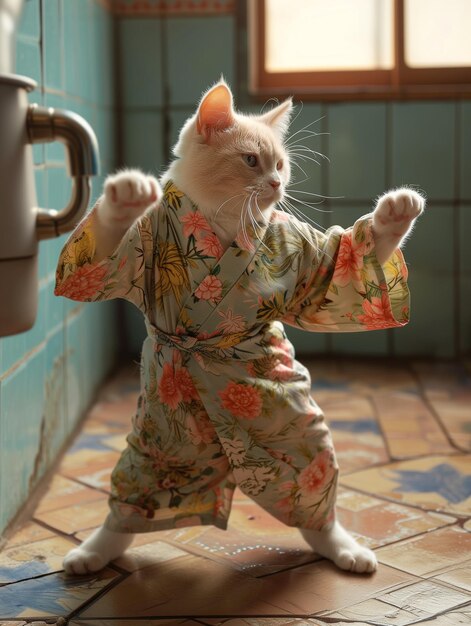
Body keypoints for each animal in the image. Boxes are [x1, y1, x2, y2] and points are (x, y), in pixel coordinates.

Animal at [59, 79, 424, 576]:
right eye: (252, 161)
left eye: (281, 164)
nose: (276, 184)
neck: (223, 217)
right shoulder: (135, 251)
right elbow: (100, 258)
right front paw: (123, 199)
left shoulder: (306, 253)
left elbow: (346, 259)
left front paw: (394, 215)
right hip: (161, 444)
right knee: (139, 493)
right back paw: (98, 549)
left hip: (292, 425)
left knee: (310, 481)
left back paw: (337, 544)